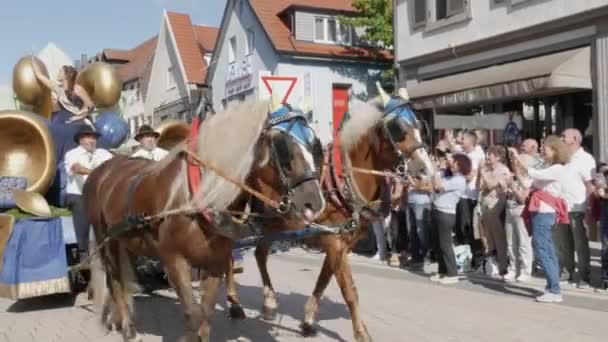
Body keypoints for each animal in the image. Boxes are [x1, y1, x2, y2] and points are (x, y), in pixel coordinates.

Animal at [85, 99, 328, 342]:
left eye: (315, 145)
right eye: (282, 146)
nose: (315, 204)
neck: (196, 196)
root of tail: (103, 168)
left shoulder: (214, 262)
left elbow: (205, 313)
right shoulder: (174, 261)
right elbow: (193, 314)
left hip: (127, 241)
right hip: (106, 239)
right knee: (115, 280)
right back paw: (127, 328)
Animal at [226, 91, 434, 342]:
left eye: (419, 126)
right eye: (397, 129)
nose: (426, 170)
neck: (346, 181)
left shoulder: (338, 245)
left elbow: (323, 282)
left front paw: (308, 321)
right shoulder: (335, 244)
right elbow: (350, 291)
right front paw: (361, 333)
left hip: (273, 223)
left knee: (259, 253)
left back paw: (268, 302)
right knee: (228, 252)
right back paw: (235, 304)